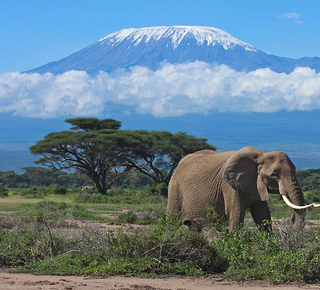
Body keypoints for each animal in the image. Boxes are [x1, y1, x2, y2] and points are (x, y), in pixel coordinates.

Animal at [166, 146, 318, 232]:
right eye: (274, 174)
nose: (291, 220)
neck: (261, 155)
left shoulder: (256, 185)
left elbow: (263, 214)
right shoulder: (228, 186)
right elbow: (236, 214)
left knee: (195, 227)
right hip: (174, 189)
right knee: (171, 223)